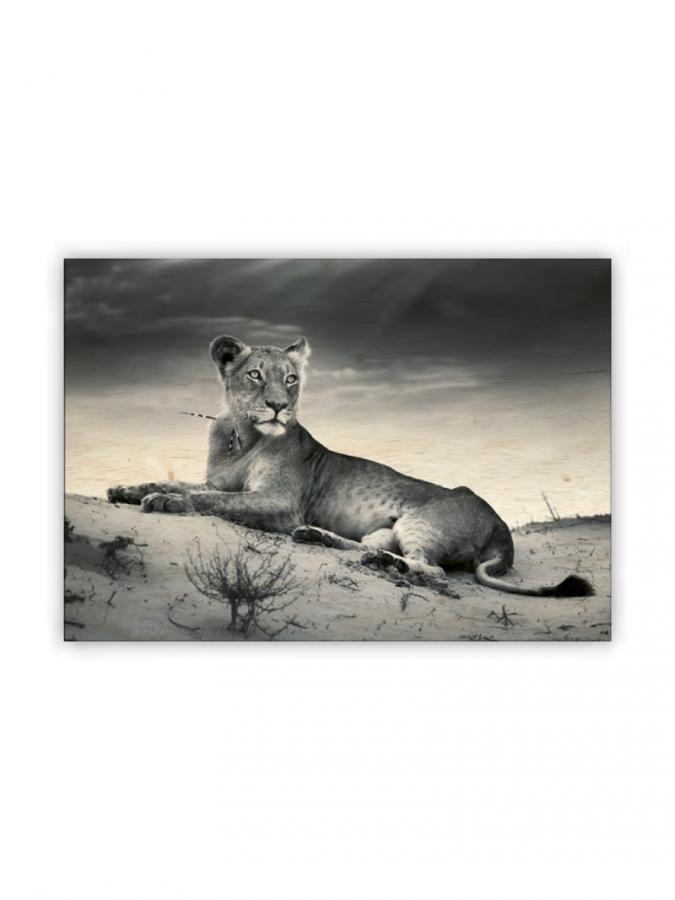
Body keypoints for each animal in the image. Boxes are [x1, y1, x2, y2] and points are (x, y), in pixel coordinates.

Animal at [107, 335, 593, 597]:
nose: (279, 407)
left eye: (291, 379)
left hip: (420, 521)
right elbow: (190, 486)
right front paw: (127, 490)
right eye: (254, 375)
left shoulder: (280, 503)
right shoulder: (225, 482)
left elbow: (210, 501)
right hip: (385, 528)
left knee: (430, 569)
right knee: (369, 547)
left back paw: (380, 563)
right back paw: (321, 539)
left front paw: (165, 502)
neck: (240, 434)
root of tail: (503, 530)